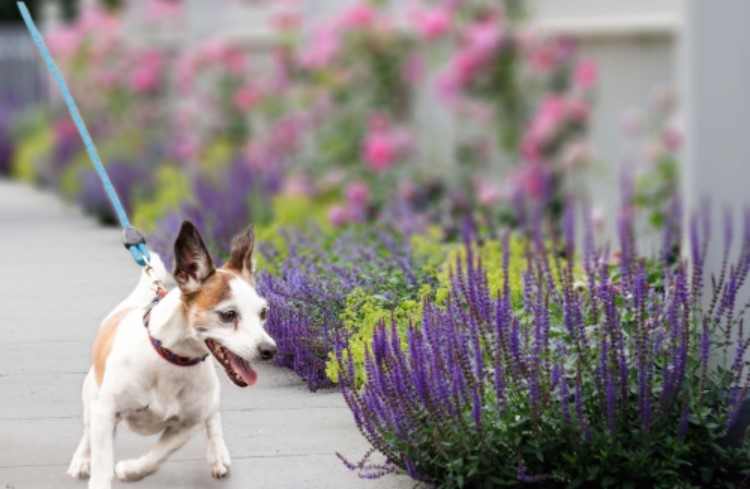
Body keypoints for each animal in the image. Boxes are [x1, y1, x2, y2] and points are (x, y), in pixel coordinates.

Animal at [67, 222, 278, 488]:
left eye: (264, 312)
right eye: (228, 314)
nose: (270, 350)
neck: (172, 360)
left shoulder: (187, 425)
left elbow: (157, 456)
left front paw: (131, 470)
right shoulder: (105, 414)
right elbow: (102, 465)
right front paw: (101, 469)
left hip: (209, 399)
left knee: (213, 416)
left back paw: (218, 454)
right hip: (92, 398)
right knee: (88, 429)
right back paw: (82, 459)